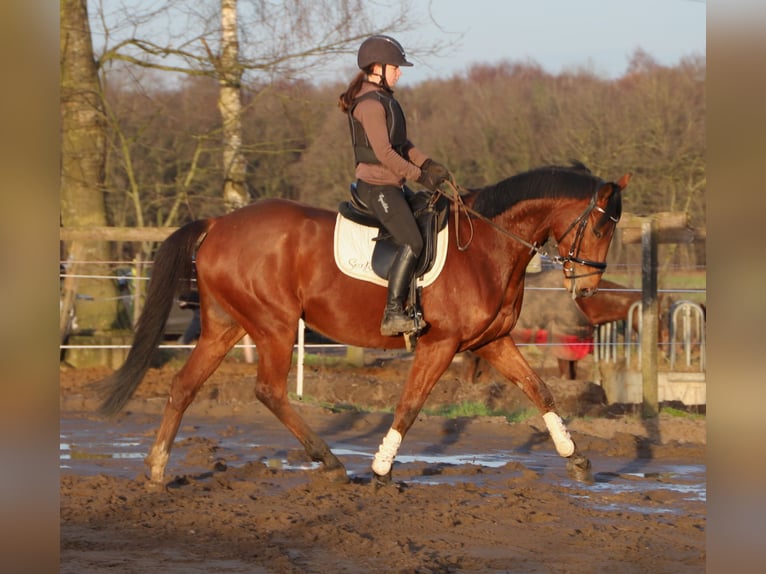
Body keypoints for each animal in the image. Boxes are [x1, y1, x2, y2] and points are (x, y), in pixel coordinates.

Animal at [98, 162, 630, 489]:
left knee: (184, 387)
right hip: (274, 325)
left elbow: (541, 390)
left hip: (226, 326)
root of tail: (219, 224)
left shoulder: (492, 341)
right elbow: (410, 405)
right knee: (269, 390)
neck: (483, 247)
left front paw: (577, 458)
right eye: (600, 226)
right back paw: (331, 462)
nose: (586, 288)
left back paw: (157, 469)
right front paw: (381, 469)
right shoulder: (441, 344)